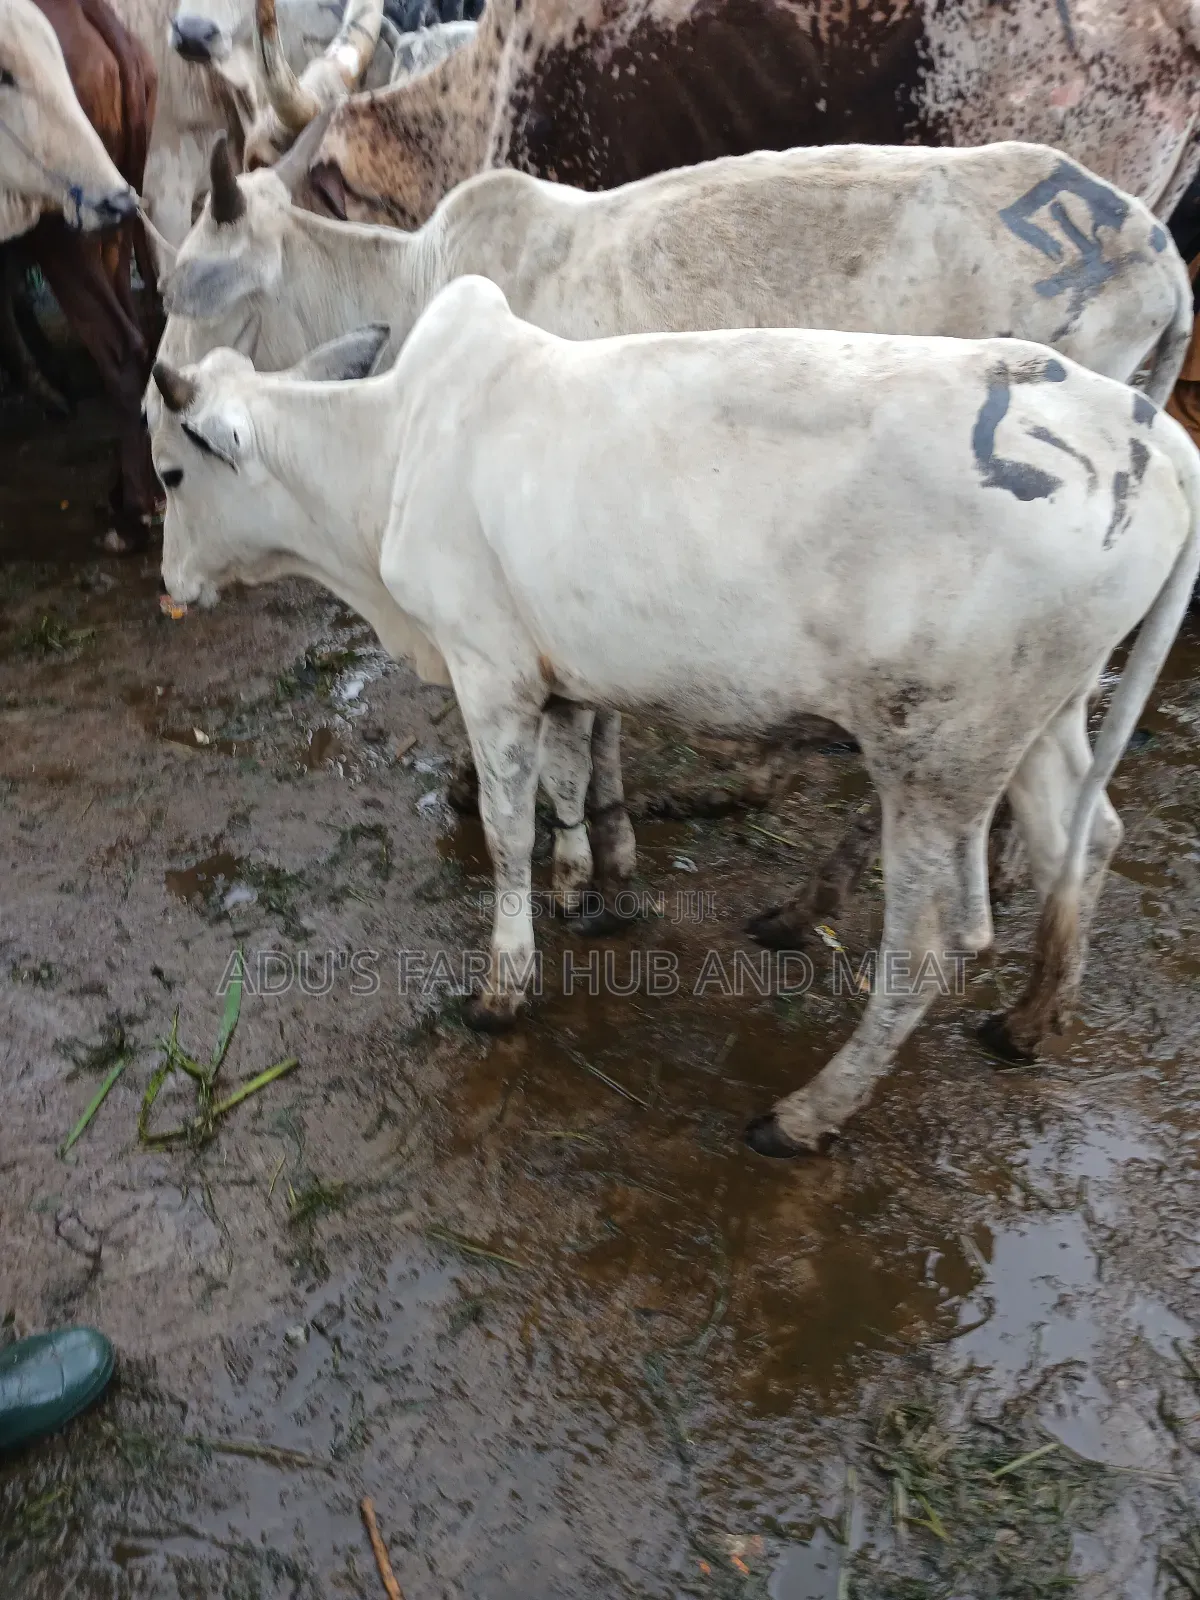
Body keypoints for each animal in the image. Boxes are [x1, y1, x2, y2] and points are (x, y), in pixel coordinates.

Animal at [146, 282, 1200, 1155]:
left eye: (169, 474)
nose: (171, 586)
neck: (394, 453)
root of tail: (1147, 428)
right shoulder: (562, 672)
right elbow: (573, 778)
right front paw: (589, 890)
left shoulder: (489, 670)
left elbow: (503, 829)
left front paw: (503, 988)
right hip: (1040, 714)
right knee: (1085, 839)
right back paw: (1028, 1022)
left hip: (936, 750)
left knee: (929, 945)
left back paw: (804, 1115)